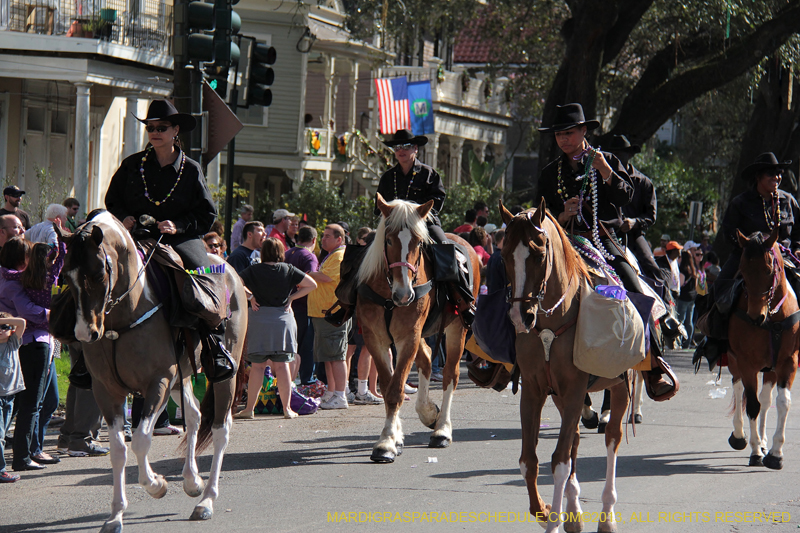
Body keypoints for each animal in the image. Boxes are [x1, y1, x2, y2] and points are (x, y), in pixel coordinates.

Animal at [55, 209, 247, 532]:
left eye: (98, 273)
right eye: (66, 276)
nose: (84, 334)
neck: (124, 316)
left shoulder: (158, 381)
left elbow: (142, 439)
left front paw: (157, 485)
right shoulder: (106, 391)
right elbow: (119, 449)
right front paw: (115, 516)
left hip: (222, 375)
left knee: (221, 429)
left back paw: (206, 499)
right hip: (182, 376)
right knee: (194, 416)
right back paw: (192, 481)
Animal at [358, 194, 482, 462]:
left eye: (418, 242)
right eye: (389, 239)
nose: (405, 294)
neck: (389, 296)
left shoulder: (408, 337)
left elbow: (395, 390)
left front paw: (386, 443)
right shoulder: (376, 339)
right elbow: (389, 385)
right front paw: (393, 437)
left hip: (456, 328)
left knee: (450, 375)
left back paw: (442, 429)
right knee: (426, 360)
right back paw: (427, 413)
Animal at [500, 200, 632, 532]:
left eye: (538, 254)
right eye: (504, 254)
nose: (520, 317)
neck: (550, 326)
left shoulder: (574, 390)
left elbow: (559, 461)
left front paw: (553, 520)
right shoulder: (535, 392)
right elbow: (528, 461)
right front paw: (546, 510)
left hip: (619, 386)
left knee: (612, 439)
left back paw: (607, 515)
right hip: (561, 397)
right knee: (575, 439)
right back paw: (573, 509)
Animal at [728, 227, 796, 468]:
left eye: (768, 270)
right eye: (742, 271)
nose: (755, 317)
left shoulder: (788, 362)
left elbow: (782, 402)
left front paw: (775, 453)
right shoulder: (746, 363)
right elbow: (752, 405)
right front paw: (756, 451)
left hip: (771, 368)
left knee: (766, 400)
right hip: (734, 360)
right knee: (739, 388)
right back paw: (739, 435)